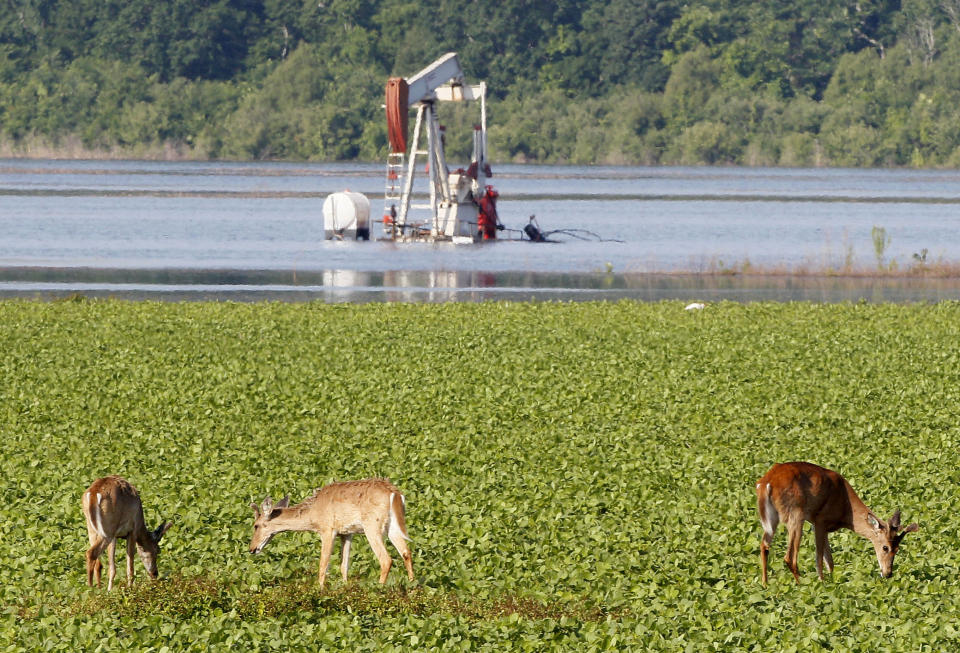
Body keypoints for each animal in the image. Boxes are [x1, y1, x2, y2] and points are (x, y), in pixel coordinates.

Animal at [248, 476, 412, 588]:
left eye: (256, 525)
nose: (251, 549)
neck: (313, 513)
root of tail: (395, 493)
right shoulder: (346, 532)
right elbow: (344, 565)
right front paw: (344, 587)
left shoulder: (327, 529)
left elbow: (323, 564)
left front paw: (319, 590)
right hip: (392, 527)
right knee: (406, 552)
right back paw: (412, 586)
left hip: (372, 525)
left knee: (386, 559)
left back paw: (379, 588)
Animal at [756, 458, 916, 584]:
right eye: (885, 547)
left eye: (898, 548)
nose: (888, 573)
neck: (846, 508)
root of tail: (766, 482)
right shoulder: (820, 521)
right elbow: (819, 557)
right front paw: (822, 582)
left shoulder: (820, 525)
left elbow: (830, 561)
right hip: (795, 516)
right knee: (789, 557)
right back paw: (802, 585)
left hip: (773, 519)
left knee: (764, 545)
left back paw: (765, 585)